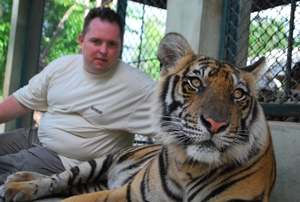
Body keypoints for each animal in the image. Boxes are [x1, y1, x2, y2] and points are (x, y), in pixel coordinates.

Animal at [0, 32, 276, 202]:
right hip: (98, 163)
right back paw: (16, 184)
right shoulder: (127, 194)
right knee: (59, 177)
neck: (190, 168)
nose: (216, 124)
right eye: (196, 83)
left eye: (238, 94)